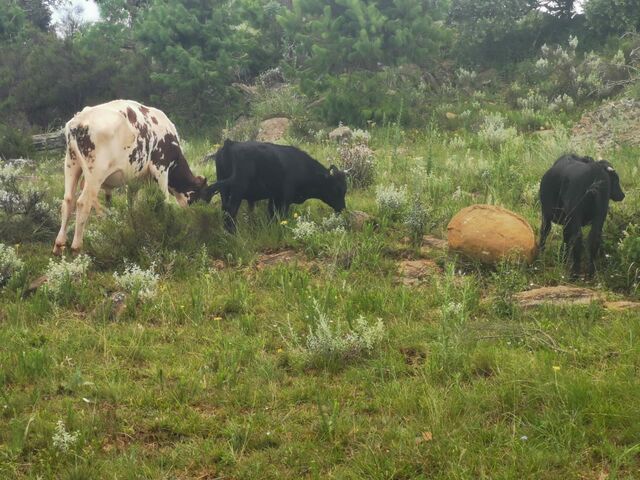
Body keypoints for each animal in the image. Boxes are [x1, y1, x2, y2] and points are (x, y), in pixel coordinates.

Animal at [53, 100, 208, 255]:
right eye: (198, 195)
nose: (196, 217)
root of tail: (80, 120)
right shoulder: (161, 167)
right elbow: (164, 199)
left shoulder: (135, 180)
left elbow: (131, 203)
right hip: (95, 173)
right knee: (83, 203)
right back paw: (77, 247)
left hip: (71, 165)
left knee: (68, 201)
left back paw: (59, 245)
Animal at [204, 140, 347, 232]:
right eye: (337, 188)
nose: (343, 208)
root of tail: (231, 143)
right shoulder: (286, 197)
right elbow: (281, 214)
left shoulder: (274, 197)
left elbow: (271, 214)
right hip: (237, 190)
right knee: (231, 210)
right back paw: (233, 233)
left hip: (224, 191)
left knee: (225, 210)